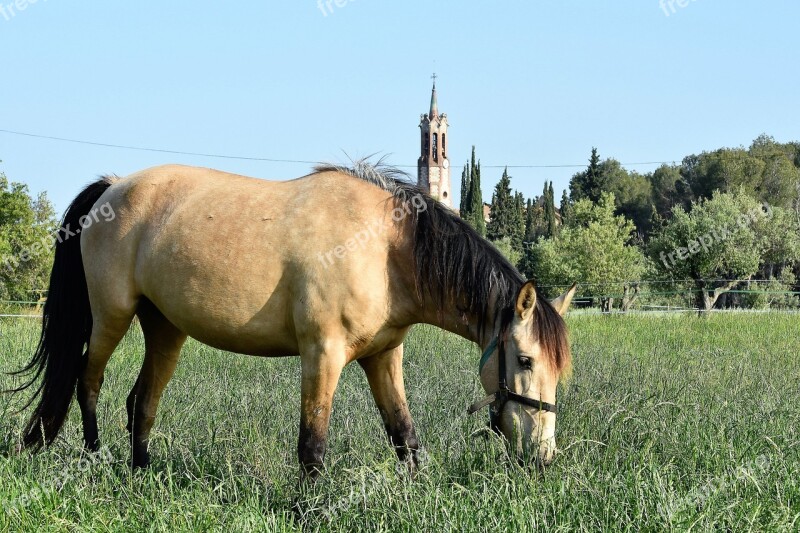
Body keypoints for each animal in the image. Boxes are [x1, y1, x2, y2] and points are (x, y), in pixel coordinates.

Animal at [12, 160, 576, 476]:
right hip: (111, 316)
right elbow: (312, 447)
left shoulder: (382, 357)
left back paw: (140, 475)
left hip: (165, 330)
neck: (386, 248)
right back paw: (96, 461)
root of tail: (112, 187)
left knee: (141, 403)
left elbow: (404, 436)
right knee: (89, 383)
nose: (544, 455)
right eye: (525, 360)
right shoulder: (321, 354)